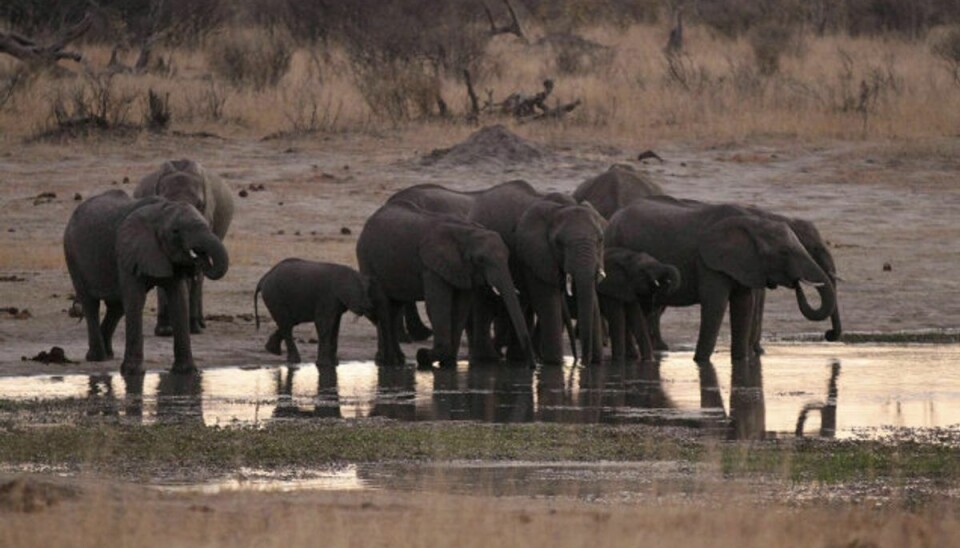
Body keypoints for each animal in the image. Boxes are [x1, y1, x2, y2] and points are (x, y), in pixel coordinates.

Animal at [64, 191, 230, 374]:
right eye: (175, 232)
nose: (199, 258)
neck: (162, 211)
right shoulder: (127, 250)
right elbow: (136, 299)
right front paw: (132, 372)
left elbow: (179, 300)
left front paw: (187, 371)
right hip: (71, 254)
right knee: (91, 304)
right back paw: (97, 357)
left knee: (117, 307)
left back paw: (108, 354)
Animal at [356, 201, 536, 368]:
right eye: (480, 260)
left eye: (508, 257)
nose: (532, 366)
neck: (467, 232)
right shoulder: (431, 266)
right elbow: (438, 306)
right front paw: (424, 356)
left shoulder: (463, 268)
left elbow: (460, 307)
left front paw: (447, 363)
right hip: (366, 259)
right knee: (383, 306)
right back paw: (386, 362)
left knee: (394, 307)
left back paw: (395, 360)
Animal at [388, 182, 600, 366]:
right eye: (559, 243)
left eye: (600, 239)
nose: (582, 362)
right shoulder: (533, 251)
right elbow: (546, 299)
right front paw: (554, 363)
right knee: (486, 301)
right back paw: (488, 359)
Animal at [608, 195, 840, 366]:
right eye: (784, 252)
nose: (829, 335)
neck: (756, 221)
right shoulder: (710, 262)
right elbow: (716, 305)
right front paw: (700, 362)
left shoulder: (746, 264)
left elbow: (744, 305)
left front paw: (741, 361)